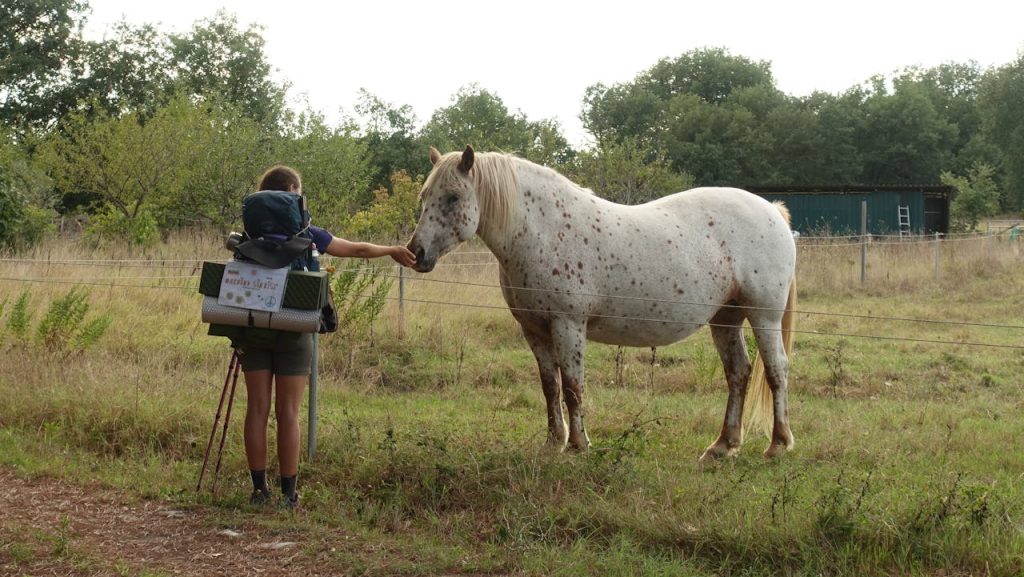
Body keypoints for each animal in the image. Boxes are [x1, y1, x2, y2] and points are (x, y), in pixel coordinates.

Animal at [407, 146, 797, 461]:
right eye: (425, 195)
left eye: (452, 197)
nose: (416, 253)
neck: (541, 232)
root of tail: (772, 211)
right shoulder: (534, 330)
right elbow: (550, 387)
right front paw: (553, 443)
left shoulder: (568, 325)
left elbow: (573, 386)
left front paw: (578, 445)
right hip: (726, 318)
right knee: (739, 373)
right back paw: (722, 446)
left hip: (763, 316)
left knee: (775, 370)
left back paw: (777, 445)